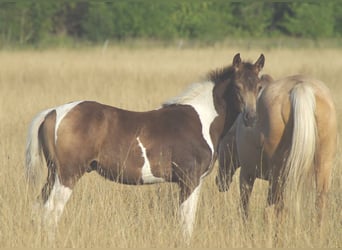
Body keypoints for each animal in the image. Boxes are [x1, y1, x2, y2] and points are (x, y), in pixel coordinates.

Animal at [25, 53, 266, 240]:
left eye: (259, 87)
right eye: (237, 86)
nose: (251, 118)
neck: (202, 118)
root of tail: (52, 112)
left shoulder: (193, 181)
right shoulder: (189, 179)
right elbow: (185, 221)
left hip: (54, 174)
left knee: (40, 209)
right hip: (68, 174)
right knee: (51, 212)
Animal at [216, 74, 336, 225]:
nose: (219, 182)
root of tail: (300, 86)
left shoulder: (247, 174)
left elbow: (244, 207)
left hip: (277, 177)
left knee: (274, 209)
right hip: (323, 166)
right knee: (319, 204)